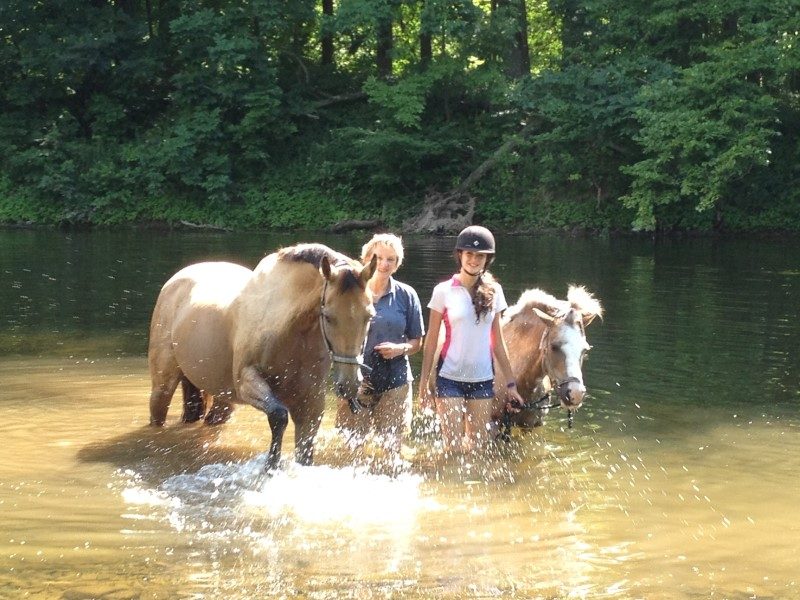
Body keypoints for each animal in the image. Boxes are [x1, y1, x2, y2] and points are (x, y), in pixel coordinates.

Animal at [147, 243, 378, 468]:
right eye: (328, 316)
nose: (349, 384)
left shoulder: (311, 401)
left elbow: (305, 451)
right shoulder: (247, 381)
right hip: (163, 387)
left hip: (222, 400)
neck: (291, 329)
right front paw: (270, 466)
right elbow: (278, 416)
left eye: (369, 316)